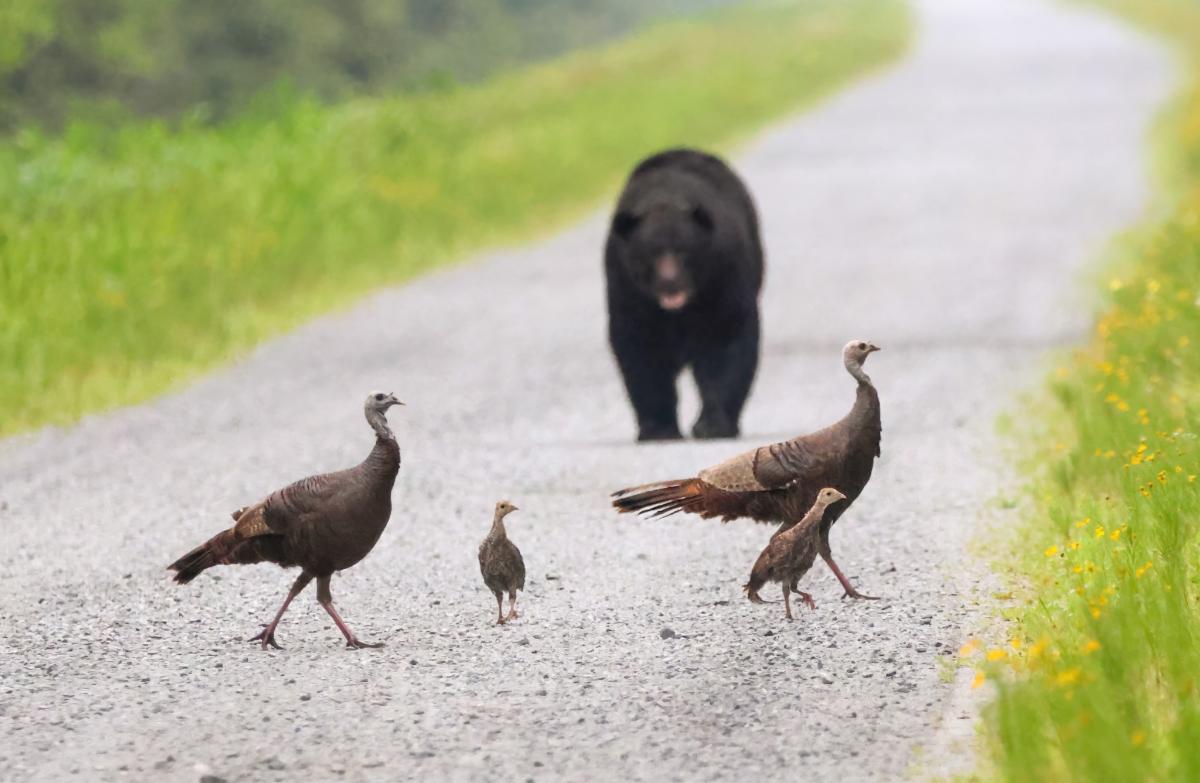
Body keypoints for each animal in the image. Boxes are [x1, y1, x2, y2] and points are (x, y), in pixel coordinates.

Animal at [604, 147, 764, 441]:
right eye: (650, 255)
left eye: (683, 251)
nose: (670, 283)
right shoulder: (629, 291)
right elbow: (641, 348)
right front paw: (658, 428)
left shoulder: (721, 280)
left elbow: (724, 342)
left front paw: (712, 425)